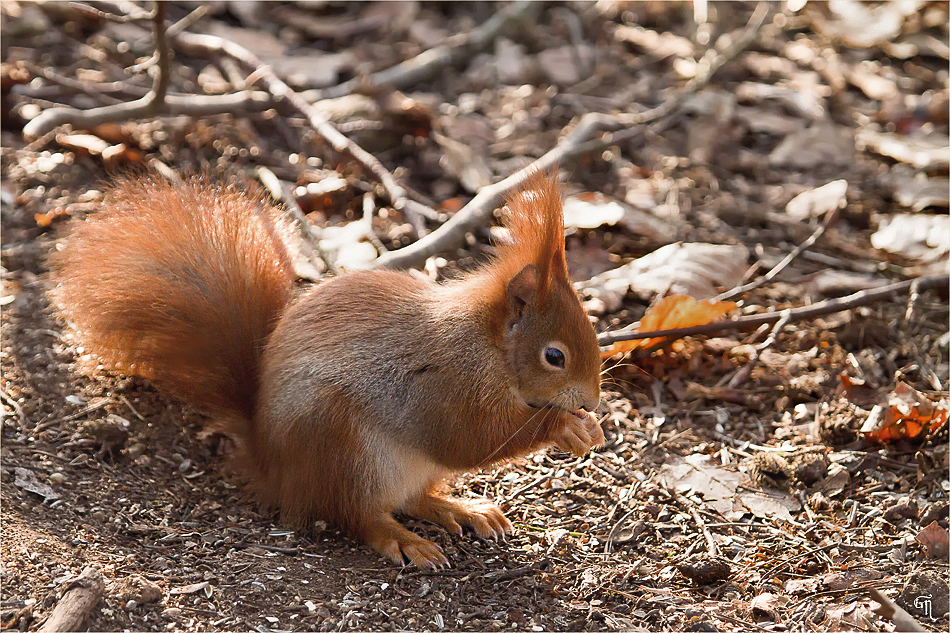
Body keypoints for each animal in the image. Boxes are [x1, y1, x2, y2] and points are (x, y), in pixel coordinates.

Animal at [54, 170, 604, 564]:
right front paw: (564, 427)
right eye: (554, 356)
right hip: (340, 446)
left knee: (412, 497)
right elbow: (467, 440)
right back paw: (403, 539)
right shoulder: (444, 385)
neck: (486, 347)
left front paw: (589, 426)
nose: (593, 400)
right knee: (358, 515)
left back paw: (458, 508)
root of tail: (274, 467)